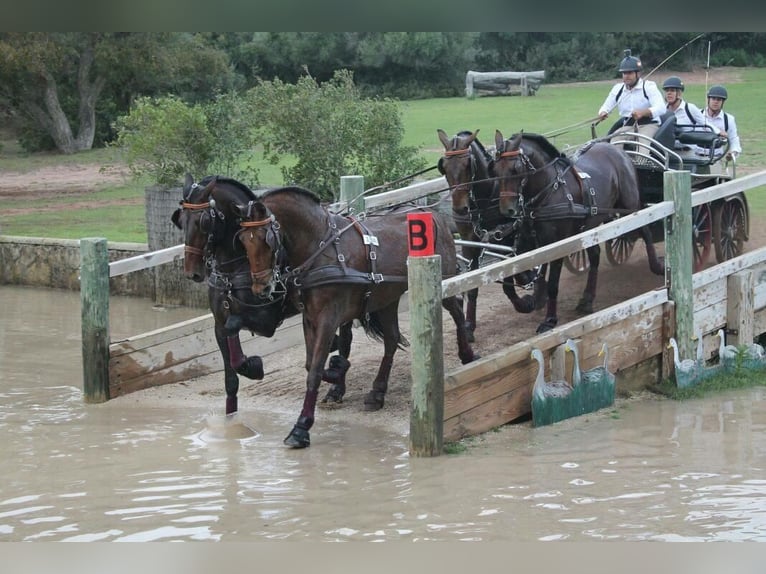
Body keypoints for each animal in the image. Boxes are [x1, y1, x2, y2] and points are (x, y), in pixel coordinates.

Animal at [172, 176, 354, 418]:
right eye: (181, 220)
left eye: (204, 221)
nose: (192, 272)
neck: (235, 270)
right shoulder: (219, 326)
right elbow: (231, 377)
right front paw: (231, 417)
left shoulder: (266, 321)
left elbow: (235, 327)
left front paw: (253, 366)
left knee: (346, 340)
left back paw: (337, 386)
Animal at [237, 189, 476, 450]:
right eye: (243, 241)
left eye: (266, 239)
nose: (261, 288)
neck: (320, 248)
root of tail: (431, 213)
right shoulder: (309, 318)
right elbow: (311, 364)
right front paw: (338, 371)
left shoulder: (329, 317)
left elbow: (315, 370)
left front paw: (301, 427)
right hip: (387, 298)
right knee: (391, 339)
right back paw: (377, 392)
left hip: (443, 280)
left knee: (457, 311)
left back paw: (467, 353)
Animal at [438, 129, 544, 338]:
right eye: (444, 167)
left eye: (467, 165)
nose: (460, 208)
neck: (484, 199)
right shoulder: (470, 242)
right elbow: (472, 285)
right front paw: (469, 325)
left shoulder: (505, 238)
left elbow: (508, 279)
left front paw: (524, 303)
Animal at [492, 131, 664, 336]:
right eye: (495, 170)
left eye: (516, 169)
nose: (507, 210)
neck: (548, 191)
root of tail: (617, 150)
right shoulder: (529, 242)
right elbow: (510, 277)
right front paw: (528, 301)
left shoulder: (558, 244)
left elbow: (553, 284)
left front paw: (549, 320)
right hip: (592, 224)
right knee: (595, 256)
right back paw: (587, 299)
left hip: (629, 206)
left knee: (645, 229)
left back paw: (657, 266)